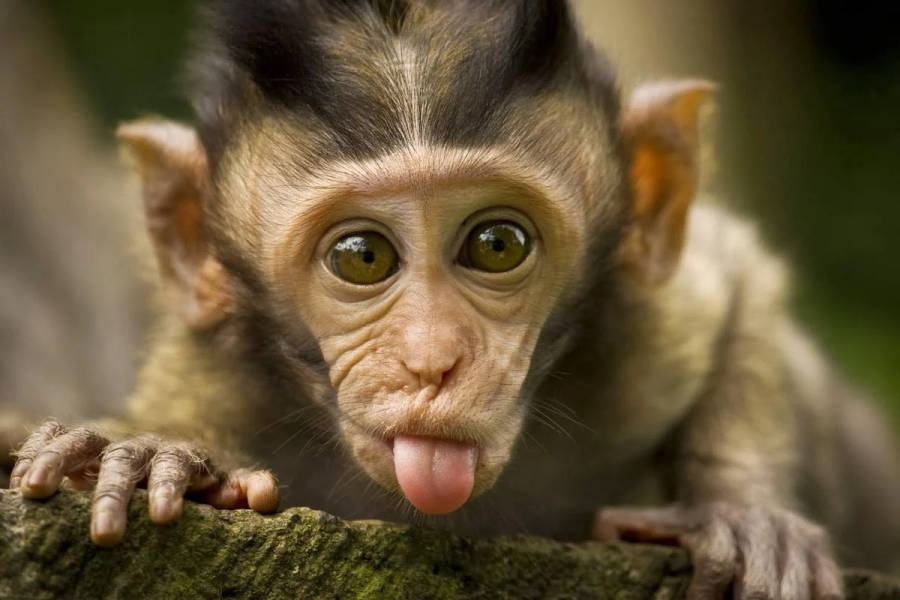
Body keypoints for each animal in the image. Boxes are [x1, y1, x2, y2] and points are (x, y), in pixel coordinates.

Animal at [7, 1, 900, 598]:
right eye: (362, 257)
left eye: (496, 245)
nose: (432, 361)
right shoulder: (215, 374)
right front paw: (157, 453)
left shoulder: (646, 339)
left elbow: (740, 280)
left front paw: (743, 513)